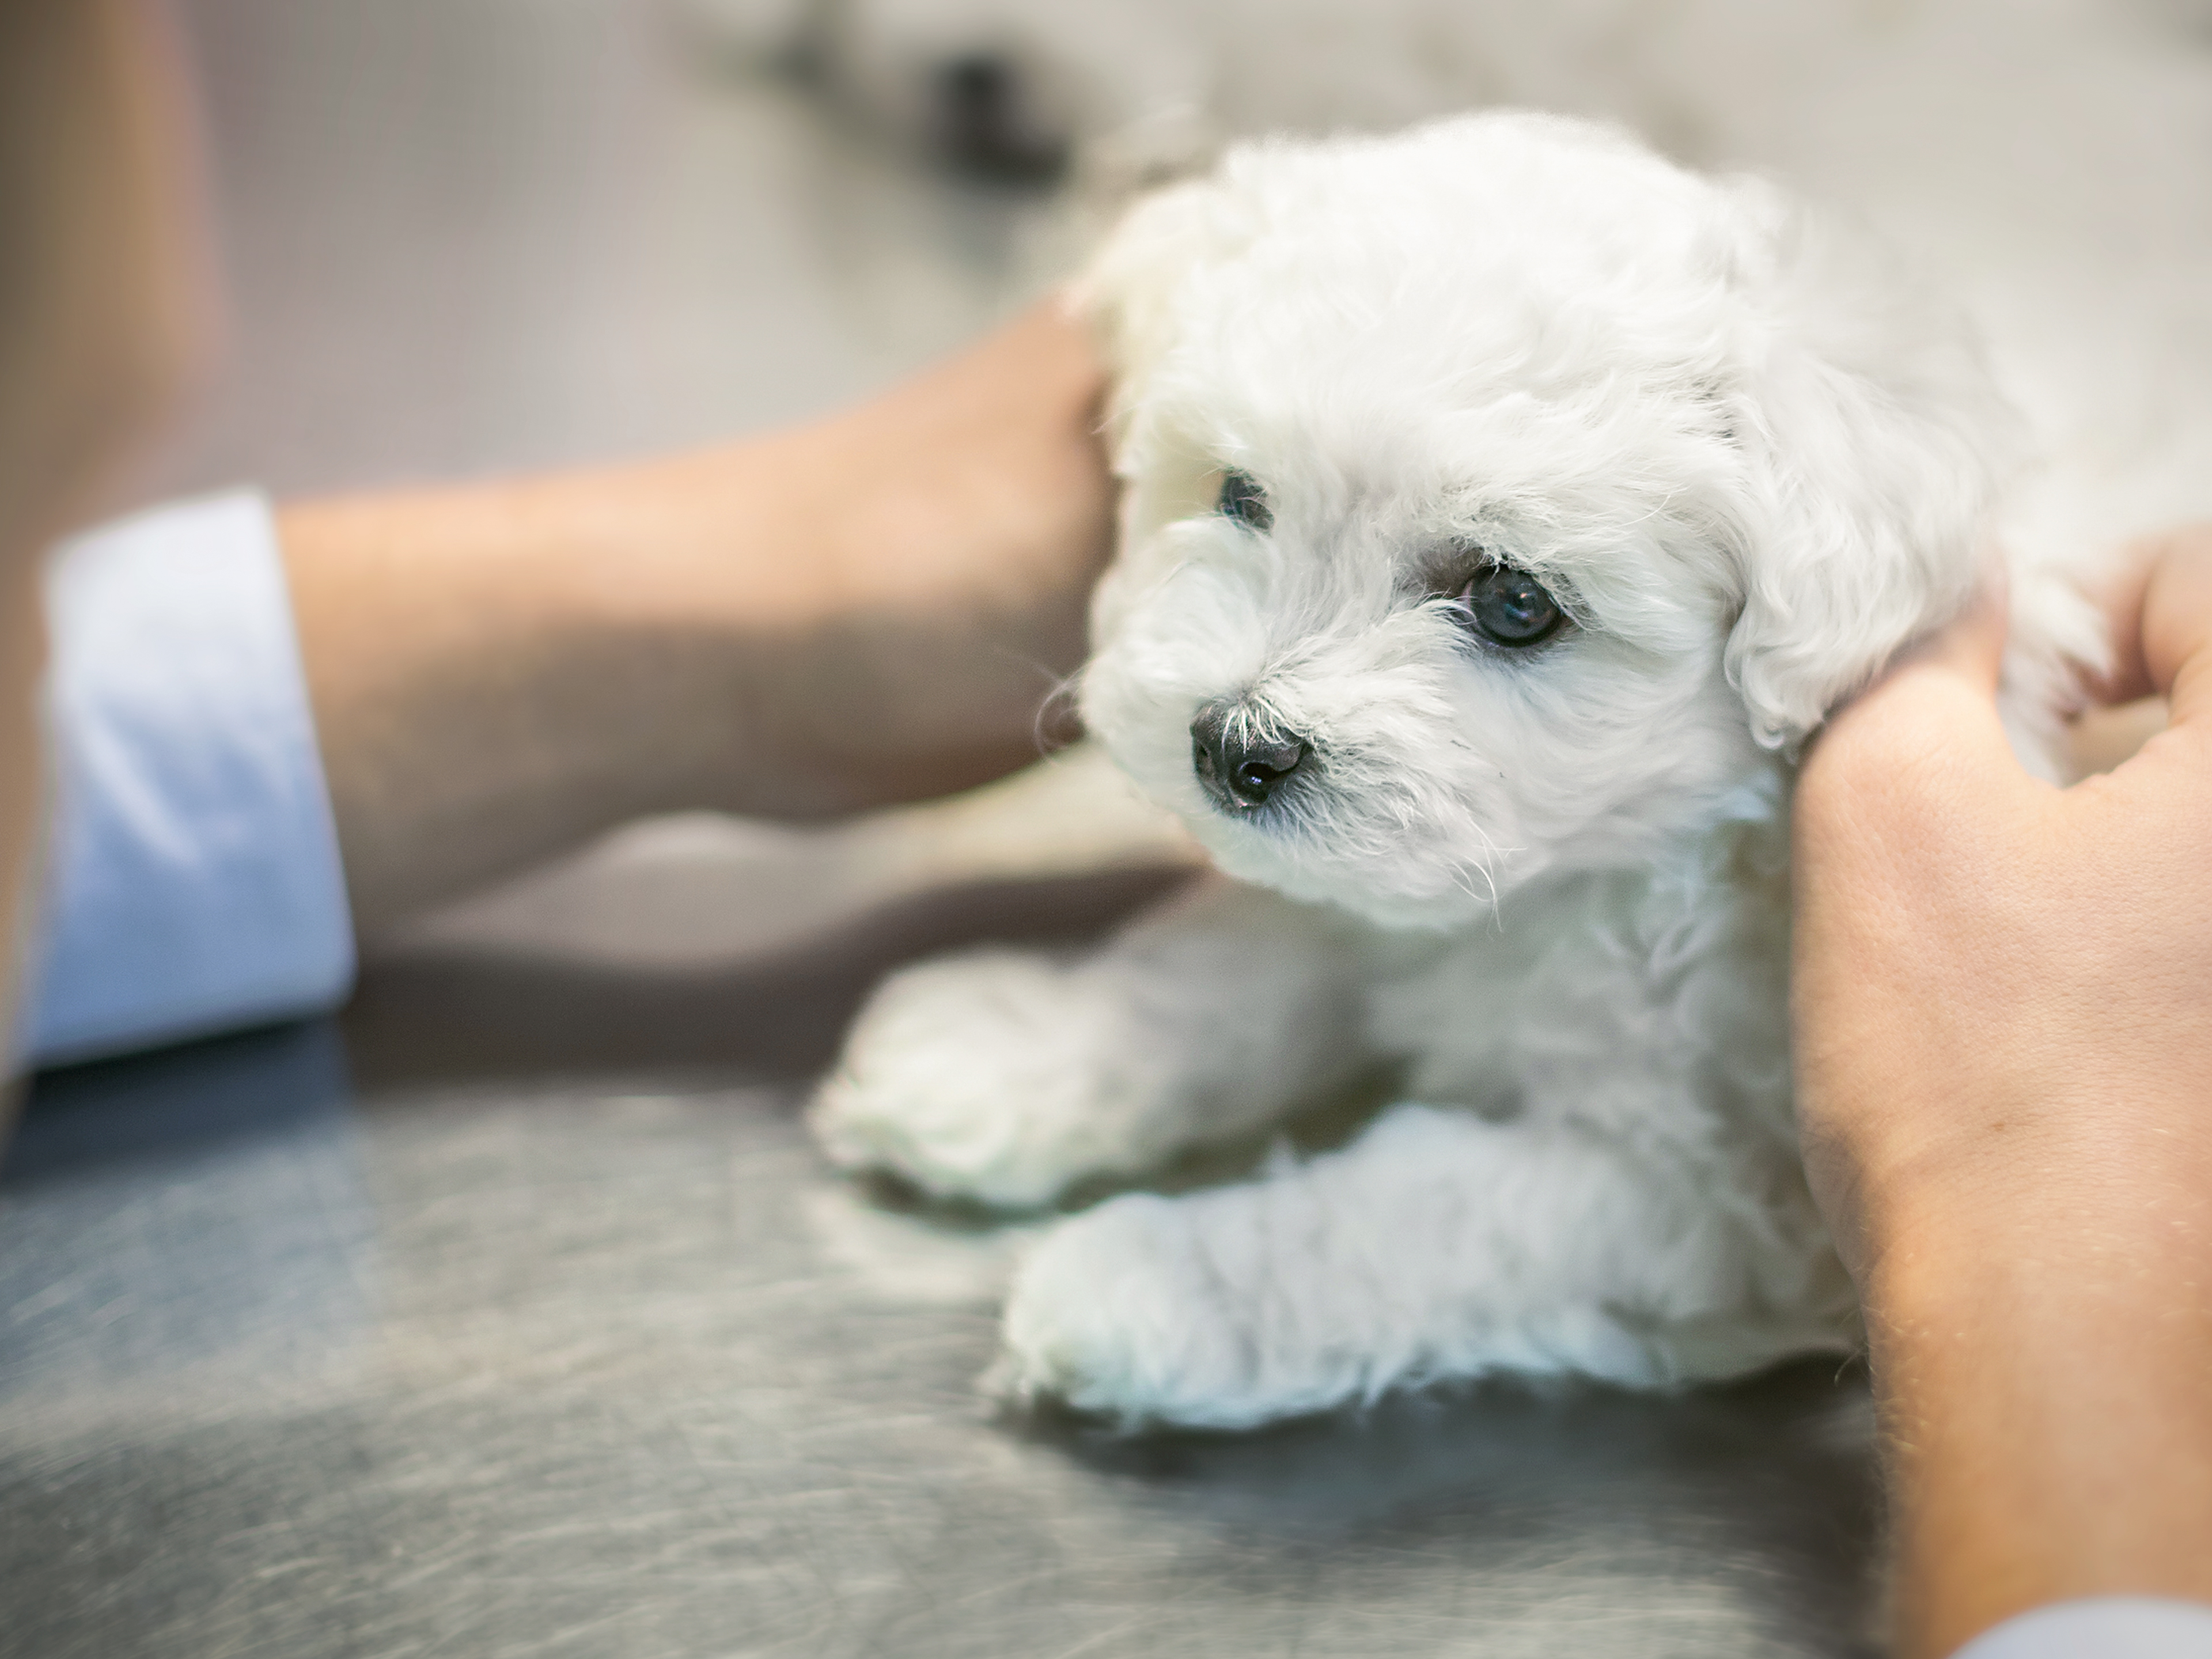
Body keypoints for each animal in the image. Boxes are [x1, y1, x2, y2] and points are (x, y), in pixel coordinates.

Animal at [809, 117, 2105, 1433]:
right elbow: (1225, 966)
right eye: (1240, 495)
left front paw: (1144, 1281)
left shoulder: (1708, 1191)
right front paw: (1015, 1056)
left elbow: (1412, 1216)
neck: (1587, 869)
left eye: (1515, 602)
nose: (1231, 747)